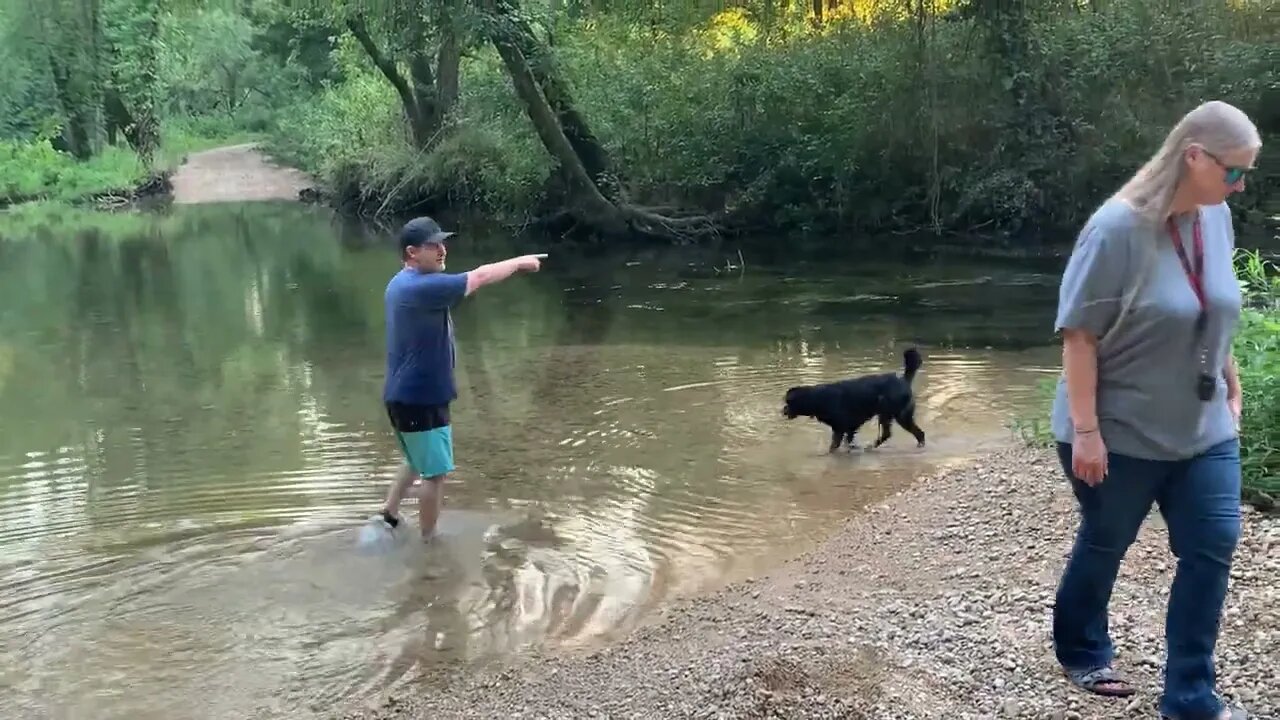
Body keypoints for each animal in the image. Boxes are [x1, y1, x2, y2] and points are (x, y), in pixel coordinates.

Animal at [783, 345, 926, 450]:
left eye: (788, 402)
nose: (783, 410)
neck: (817, 398)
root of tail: (904, 380)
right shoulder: (847, 428)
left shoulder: (841, 428)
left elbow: (835, 446)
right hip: (899, 415)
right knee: (916, 433)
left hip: (891, 413)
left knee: (892, 433)